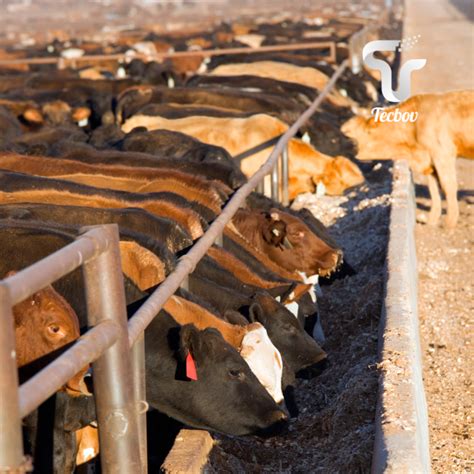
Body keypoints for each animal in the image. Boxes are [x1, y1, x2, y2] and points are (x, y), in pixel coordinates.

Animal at [342, 91, 472, 229]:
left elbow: (448, 186)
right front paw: (431, 221)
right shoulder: (430, 161)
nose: (351, 151)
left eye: (367, 132)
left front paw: (449, 223)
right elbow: (434, 188)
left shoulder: (443, 153)